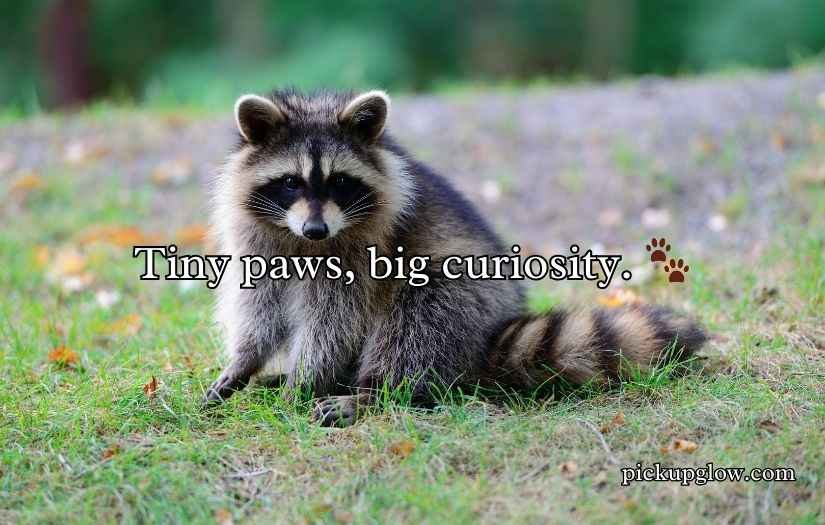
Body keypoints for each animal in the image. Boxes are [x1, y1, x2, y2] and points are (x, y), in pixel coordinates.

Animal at [206, 88, 707, 426]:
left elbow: (334, 322)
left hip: (462, 297)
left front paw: (307, 380)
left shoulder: (361, 255)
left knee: (417, 323)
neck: (304, 242)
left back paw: (371, 392)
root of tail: (491, 335)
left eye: (340, 183)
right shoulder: (260, 239)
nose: (316, 229)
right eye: (291, 182)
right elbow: (259, 306)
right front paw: (246, 361)